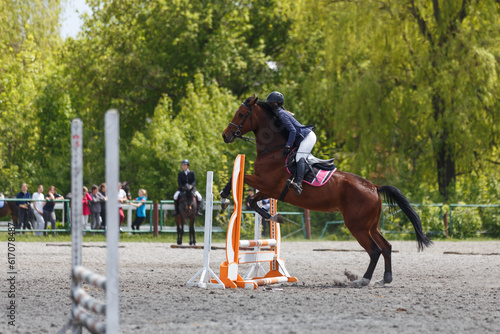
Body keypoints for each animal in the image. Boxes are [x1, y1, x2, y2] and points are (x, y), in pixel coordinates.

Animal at [221, 94, 432, 288]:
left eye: (241, 114)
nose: (225, 136)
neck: (274, 150)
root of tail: (374, 187)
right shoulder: (269, 191)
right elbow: (252, 202)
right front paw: (274, 217)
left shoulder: (266, 183)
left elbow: (238, 179)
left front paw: (224, 198)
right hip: (371, 225)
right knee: (386, 247)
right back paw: (385, 278)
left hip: (357, 226)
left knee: (374, 250)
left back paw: (363, 279)